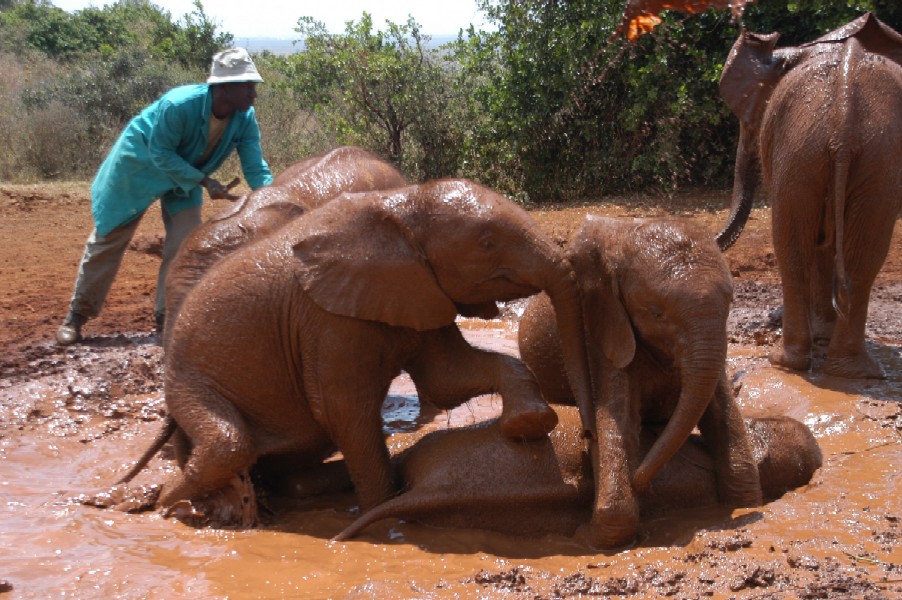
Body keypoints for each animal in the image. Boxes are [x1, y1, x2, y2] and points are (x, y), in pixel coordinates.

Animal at [113, 177, 596, 524]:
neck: (401, 205)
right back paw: (164, 506)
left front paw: (529, 424)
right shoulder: (325, 319)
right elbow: (346, 411)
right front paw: (383, 513)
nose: (589, 436)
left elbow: (449, 377)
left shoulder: (417, 288)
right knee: (227, 447)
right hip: (190, 382)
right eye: (487, 242)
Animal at [516, 216, 764, 548]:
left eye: (730, 305)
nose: (643, 485)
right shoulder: (601, 330)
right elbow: (616, 419)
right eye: (656, 313)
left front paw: (744, 501)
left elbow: (721, 409)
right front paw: (591, 536)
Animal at [712, 12, 902, 380]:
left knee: (803, 245)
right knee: (848, 253)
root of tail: (845, 108)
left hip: (818, 147)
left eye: (751, 120)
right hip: (829, 149)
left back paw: (799, 362)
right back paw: (847, 369)